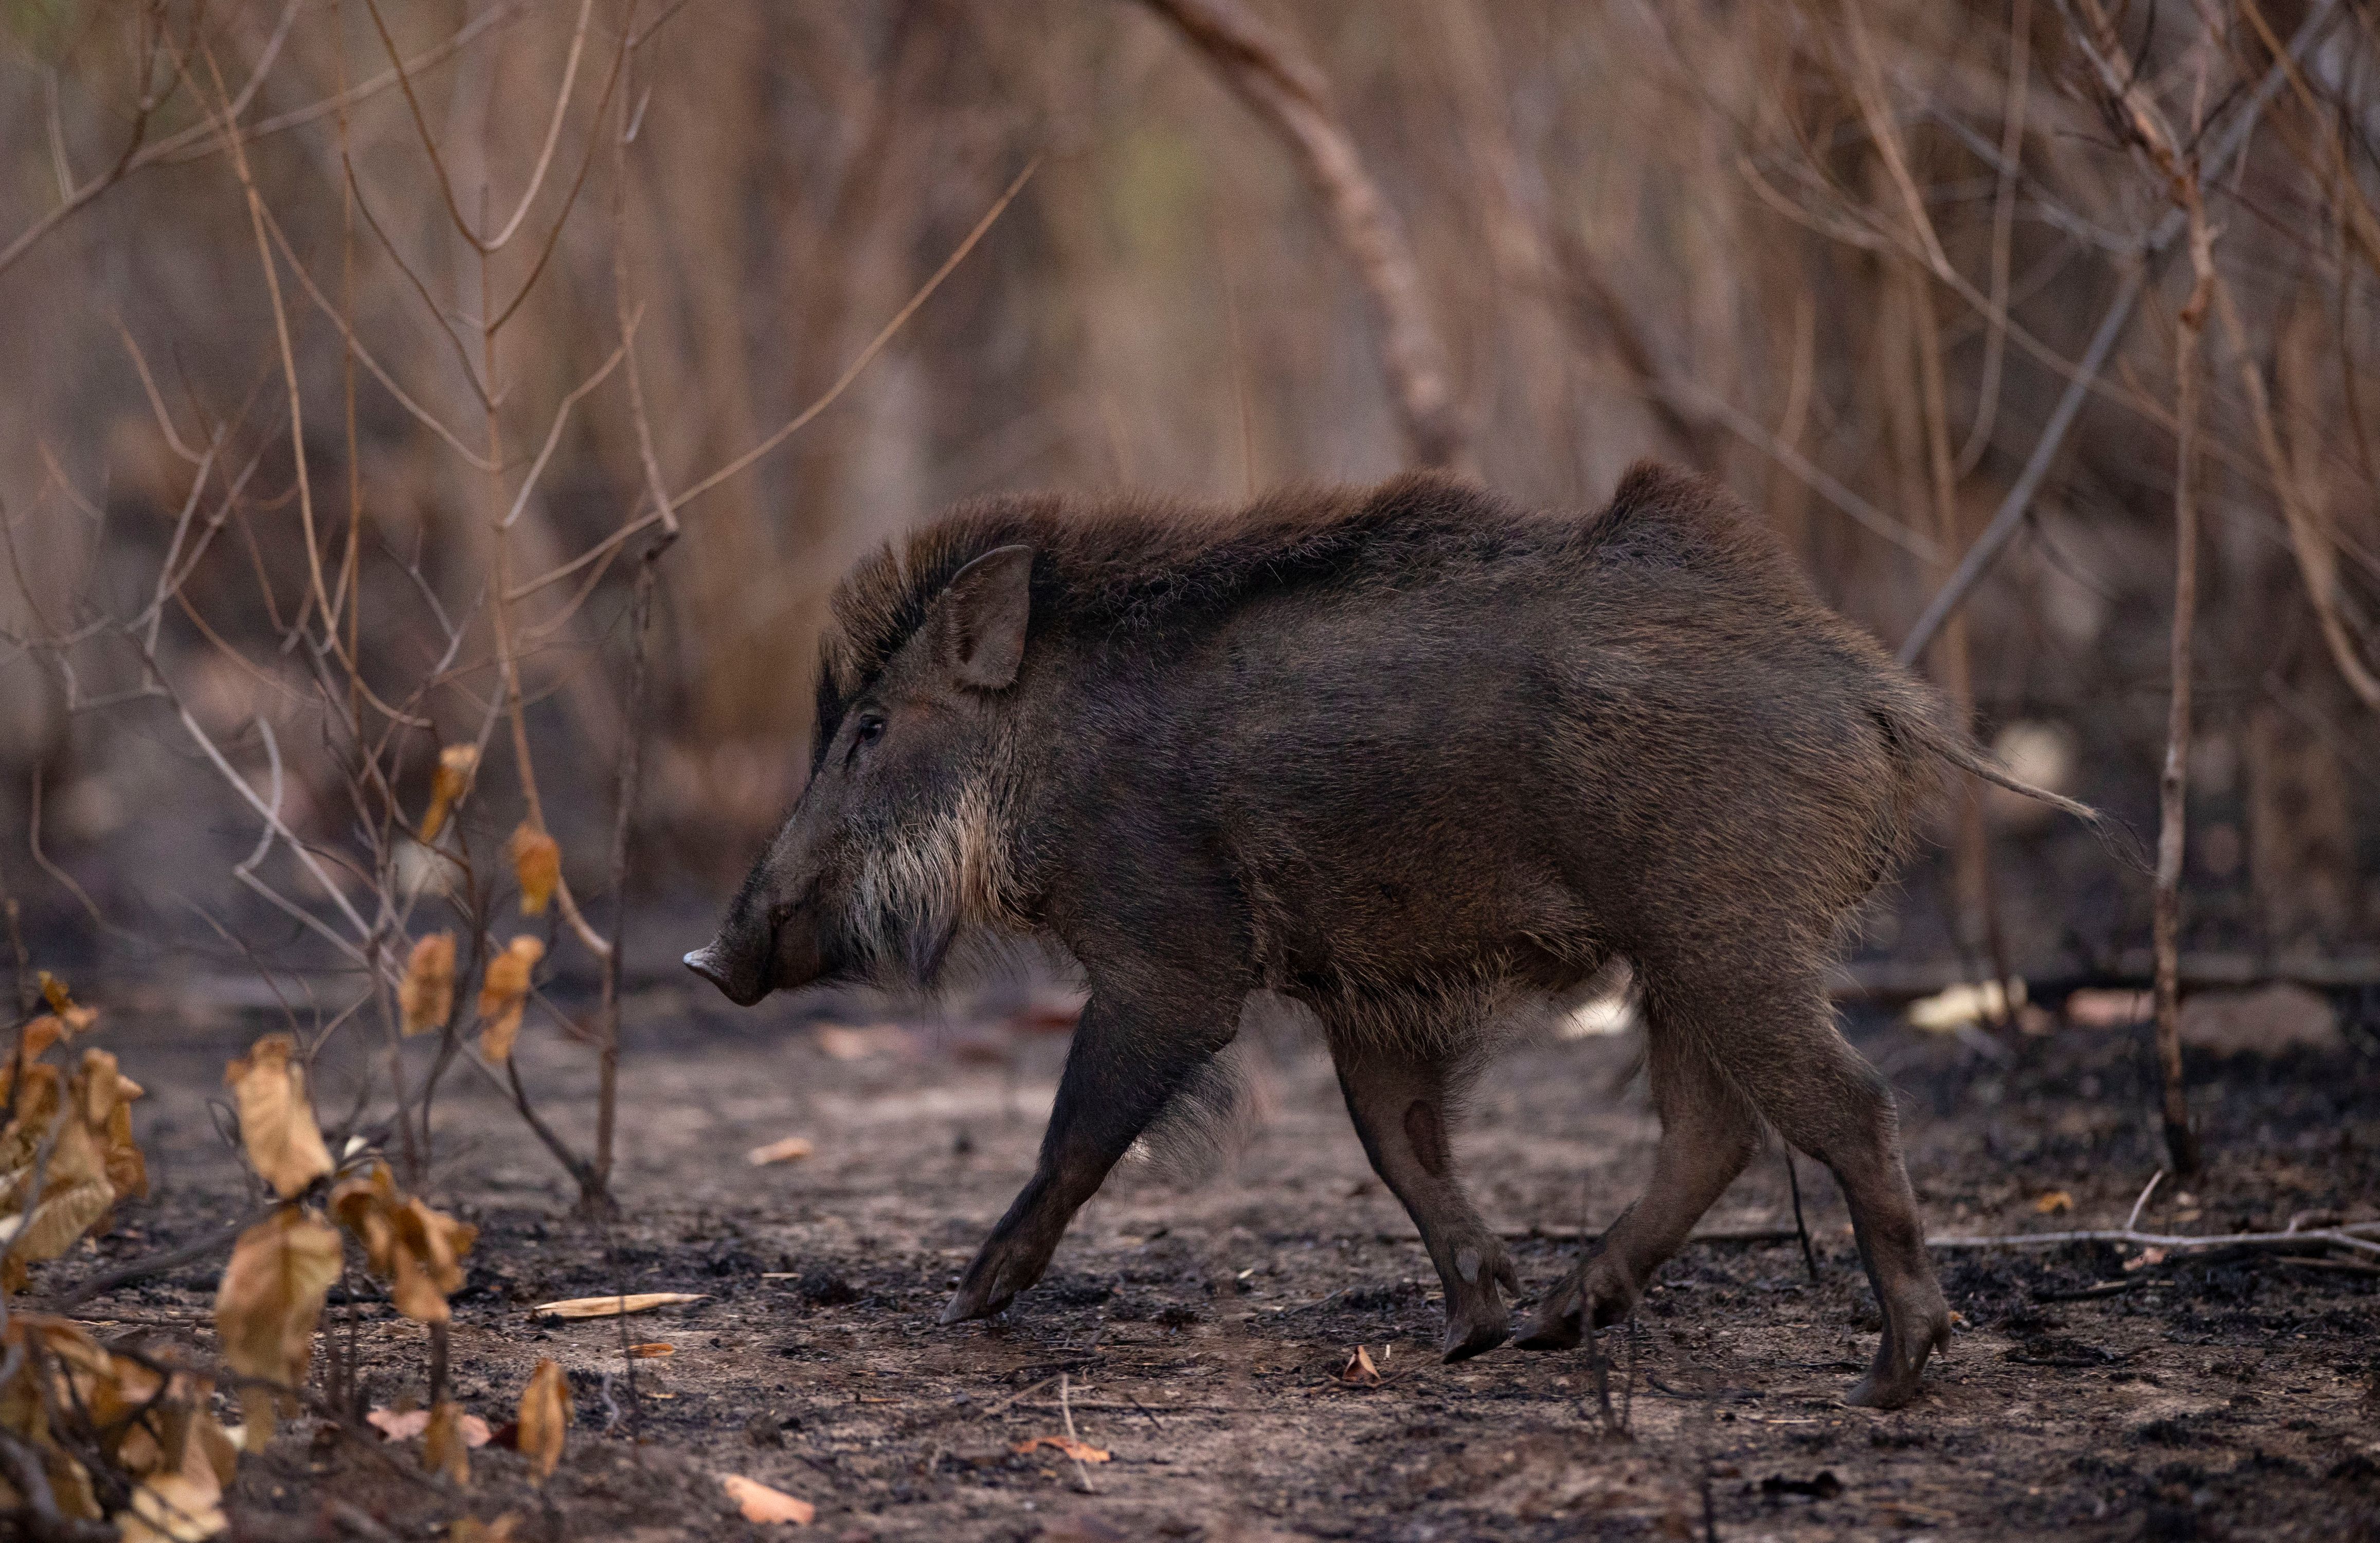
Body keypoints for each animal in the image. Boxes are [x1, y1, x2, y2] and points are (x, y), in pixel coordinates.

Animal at [685, 463, 2088, 1409]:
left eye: (870, 729)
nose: (715, 957)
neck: (1038, 751)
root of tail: (1870, 690)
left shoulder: (1171, 960)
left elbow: (1080, 1127)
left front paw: (966, 1299)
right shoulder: (1363, 998)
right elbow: (1398, 1144)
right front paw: (1472, 1326)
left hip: (1723, 933)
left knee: (1846, 1106)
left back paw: (1894, 1374)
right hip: (1685, 955)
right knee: (1715, 1132)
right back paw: (1558, 1325)